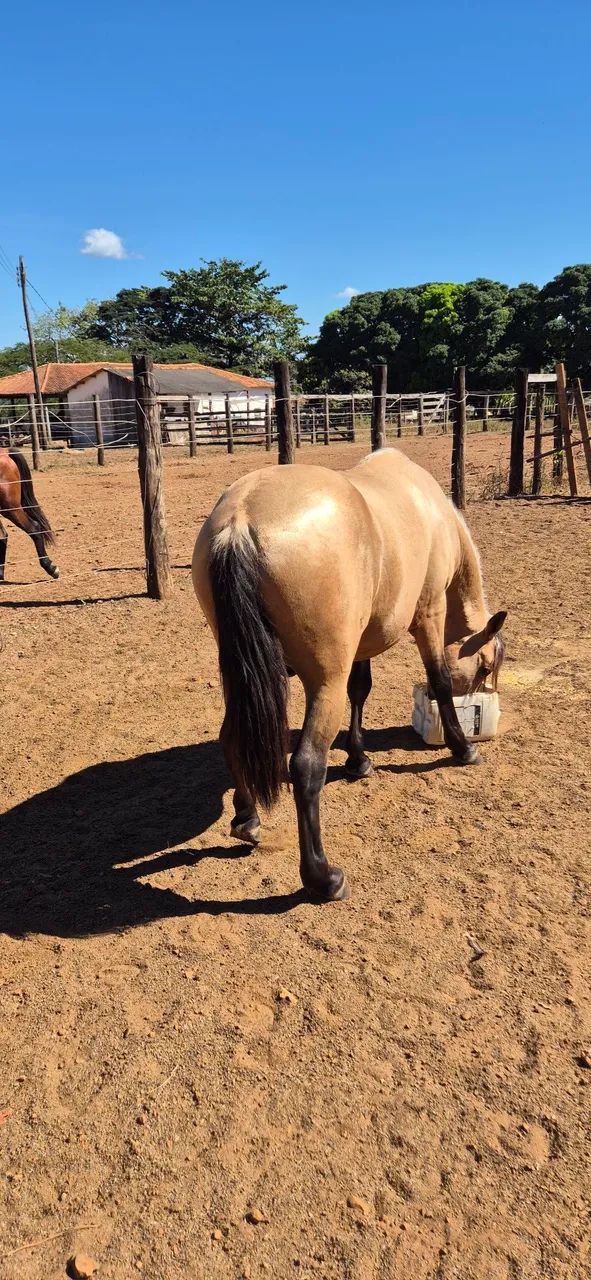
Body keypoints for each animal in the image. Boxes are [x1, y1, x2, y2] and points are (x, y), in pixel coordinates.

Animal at [192, 447, 506, 902]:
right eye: (483, 667)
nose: (480, 706)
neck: (433, 512)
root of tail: (240, 520)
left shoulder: (361, 644)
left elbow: (362, 690)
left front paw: (358, 759)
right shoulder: (429, 614)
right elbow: (440, 681)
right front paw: (462, 747)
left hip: (243, 680)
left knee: (232, 738)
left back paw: (247, 818)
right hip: (325, 683)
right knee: (306, 765)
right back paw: (322, 877)